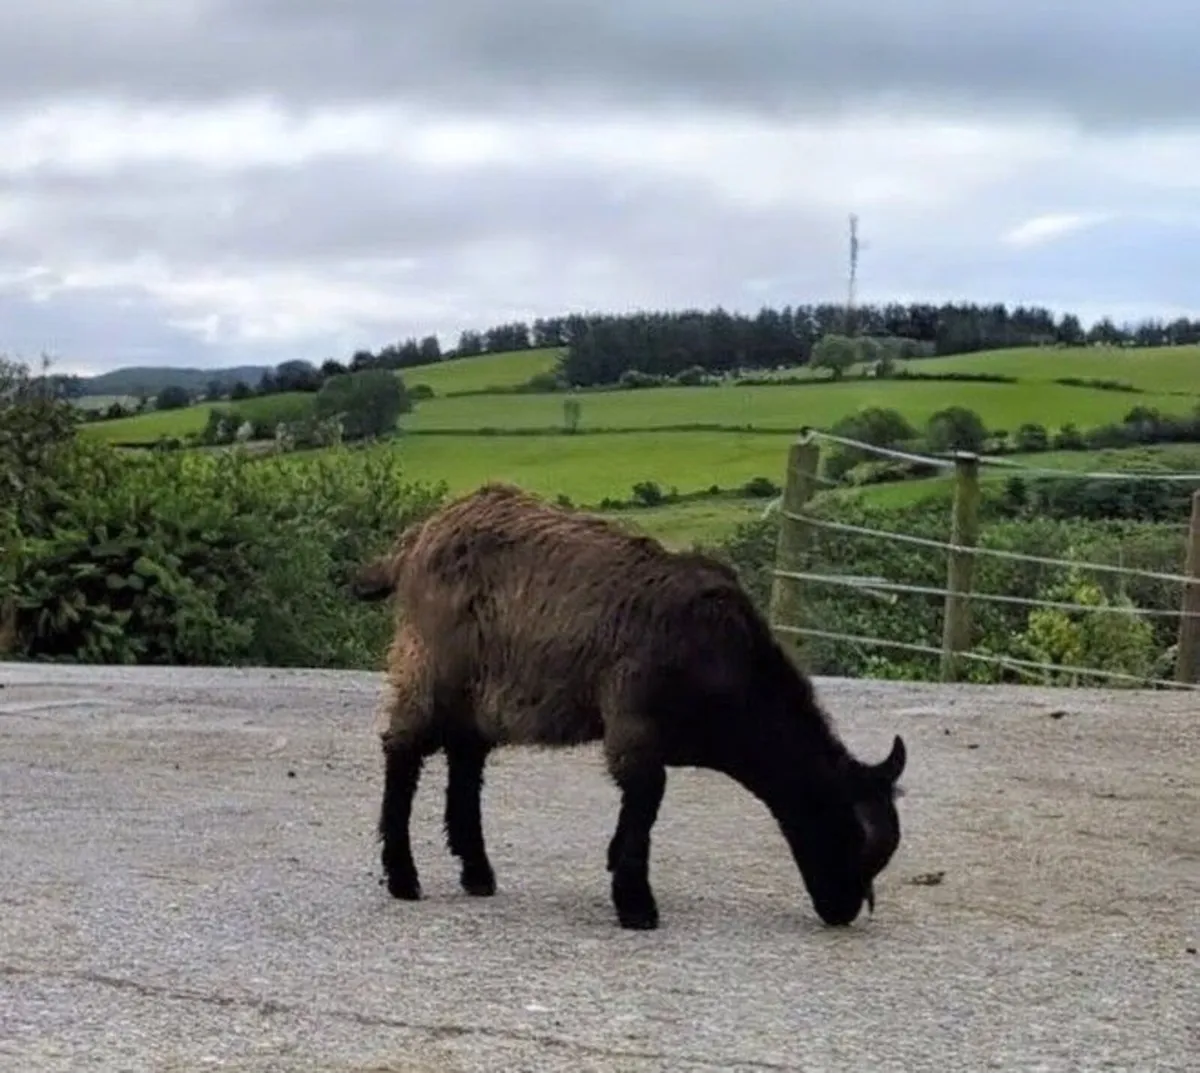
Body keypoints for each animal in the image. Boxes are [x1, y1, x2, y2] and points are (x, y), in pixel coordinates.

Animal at [351, 483, 907, 930]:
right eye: (853, 835)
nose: (843, 910)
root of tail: (417, 539)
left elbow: (640, 804)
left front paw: (621, 874)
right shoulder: (634, 719)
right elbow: (646, 798)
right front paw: (636, 903)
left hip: (480, 693)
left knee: (466, 761)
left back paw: (477, 872)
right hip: (432, 662)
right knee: (403, 748)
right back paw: (403, 875)